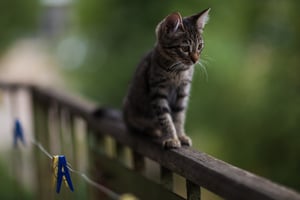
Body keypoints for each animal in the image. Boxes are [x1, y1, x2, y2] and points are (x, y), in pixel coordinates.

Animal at [123, 8, 210, 148]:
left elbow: (179, 117)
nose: (195, 60)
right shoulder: (158, 92)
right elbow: (165, 118)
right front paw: (172, 138)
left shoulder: (183, 91)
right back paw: (152, 131)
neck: (178, 71)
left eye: (200, 46)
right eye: (185, 48)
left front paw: (181, 136)